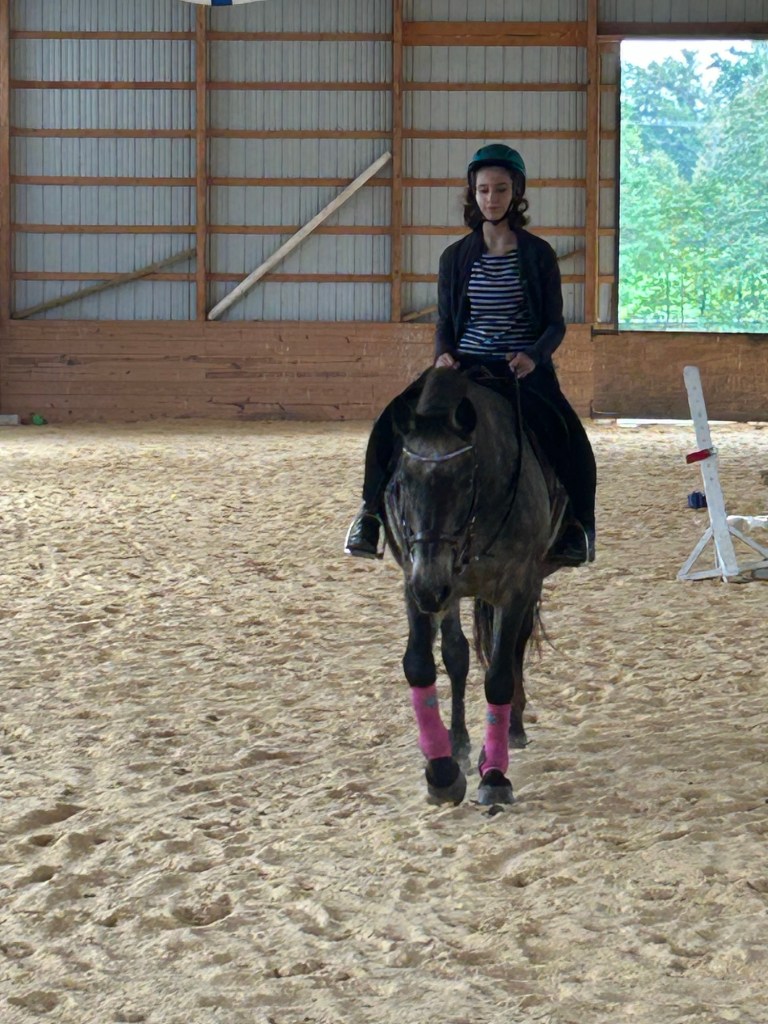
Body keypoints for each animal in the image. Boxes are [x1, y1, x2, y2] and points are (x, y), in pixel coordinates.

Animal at [381, 365, 566, 807]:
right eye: (401, 480)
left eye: (466, 481)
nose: (431, 588)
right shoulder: (416, 581)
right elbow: (424, 663)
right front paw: (443, 769)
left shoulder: (516, 586)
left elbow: (498, 676)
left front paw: (494, 775)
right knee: (459, 655)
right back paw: (461, 743)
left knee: (514, 649)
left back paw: (512, 730)